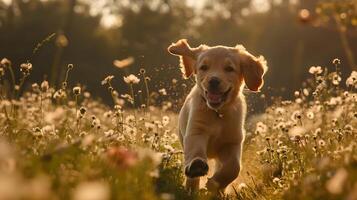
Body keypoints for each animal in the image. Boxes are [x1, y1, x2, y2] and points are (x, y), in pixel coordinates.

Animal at [167, 39, 268, 192]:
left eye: (229, 69)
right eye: (204, 67)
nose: (213, 81)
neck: (217, 113)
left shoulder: (232, 141)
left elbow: (233, 168)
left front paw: (214, 184)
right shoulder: (196, 130)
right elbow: (195, 151)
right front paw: (197, 166)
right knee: (192, 179)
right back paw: (191, 190)